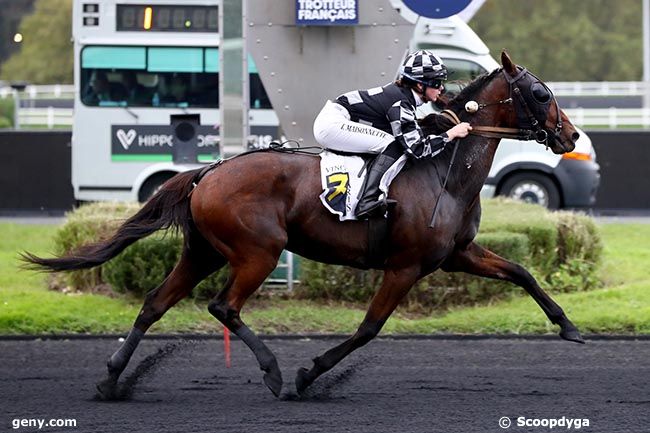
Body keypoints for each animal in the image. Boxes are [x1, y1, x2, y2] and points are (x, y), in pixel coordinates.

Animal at [24, 52, 584, 400]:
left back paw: (112, 381)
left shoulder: (455, 255)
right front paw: (309, 373)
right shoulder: (405, 266)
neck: (443, 171)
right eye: (540, 93)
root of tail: (209, 171)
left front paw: (570, 327)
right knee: (223, 306)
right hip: (258, 252)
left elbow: (522, 273)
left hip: (203, 252)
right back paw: (274, 374)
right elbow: (368, 328)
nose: (572, 135)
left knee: (153, 304)